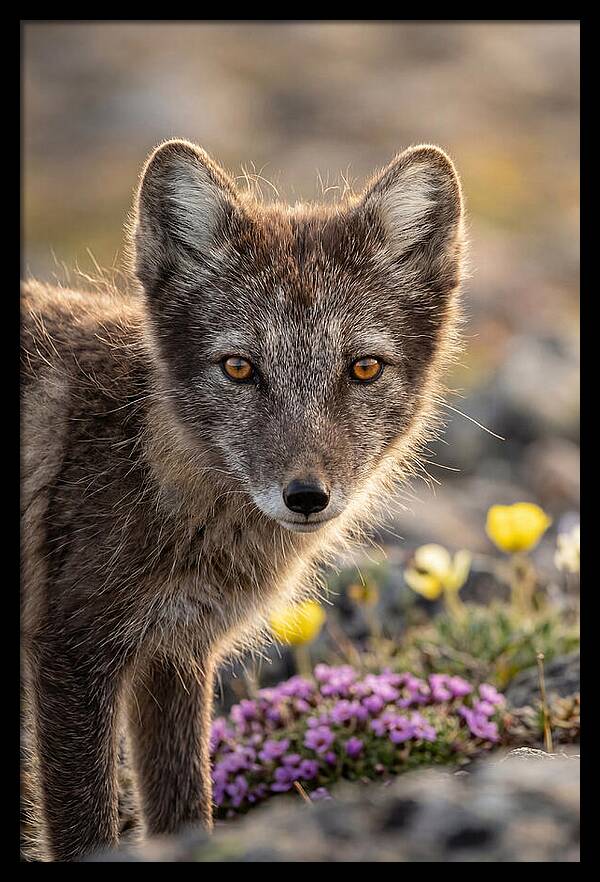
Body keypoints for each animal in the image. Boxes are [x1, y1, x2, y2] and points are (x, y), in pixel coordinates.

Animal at [21, 139, 465, 861]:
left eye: (363, 368)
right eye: (238, 368)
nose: (306, 497)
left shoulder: (175, 654)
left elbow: (184, 812)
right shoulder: (72, 652)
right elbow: (87, 830)